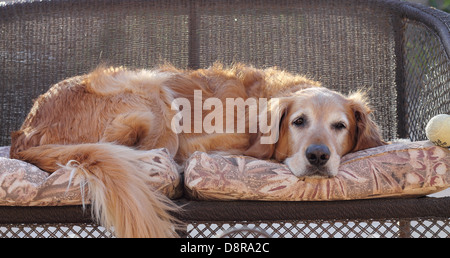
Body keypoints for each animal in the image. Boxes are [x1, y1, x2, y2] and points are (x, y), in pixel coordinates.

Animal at [8, 63, 384, 237]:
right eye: (299, 122)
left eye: (340, 126)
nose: (318, 156)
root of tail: (22, 136)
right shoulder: (198, 141)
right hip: (155, 95)